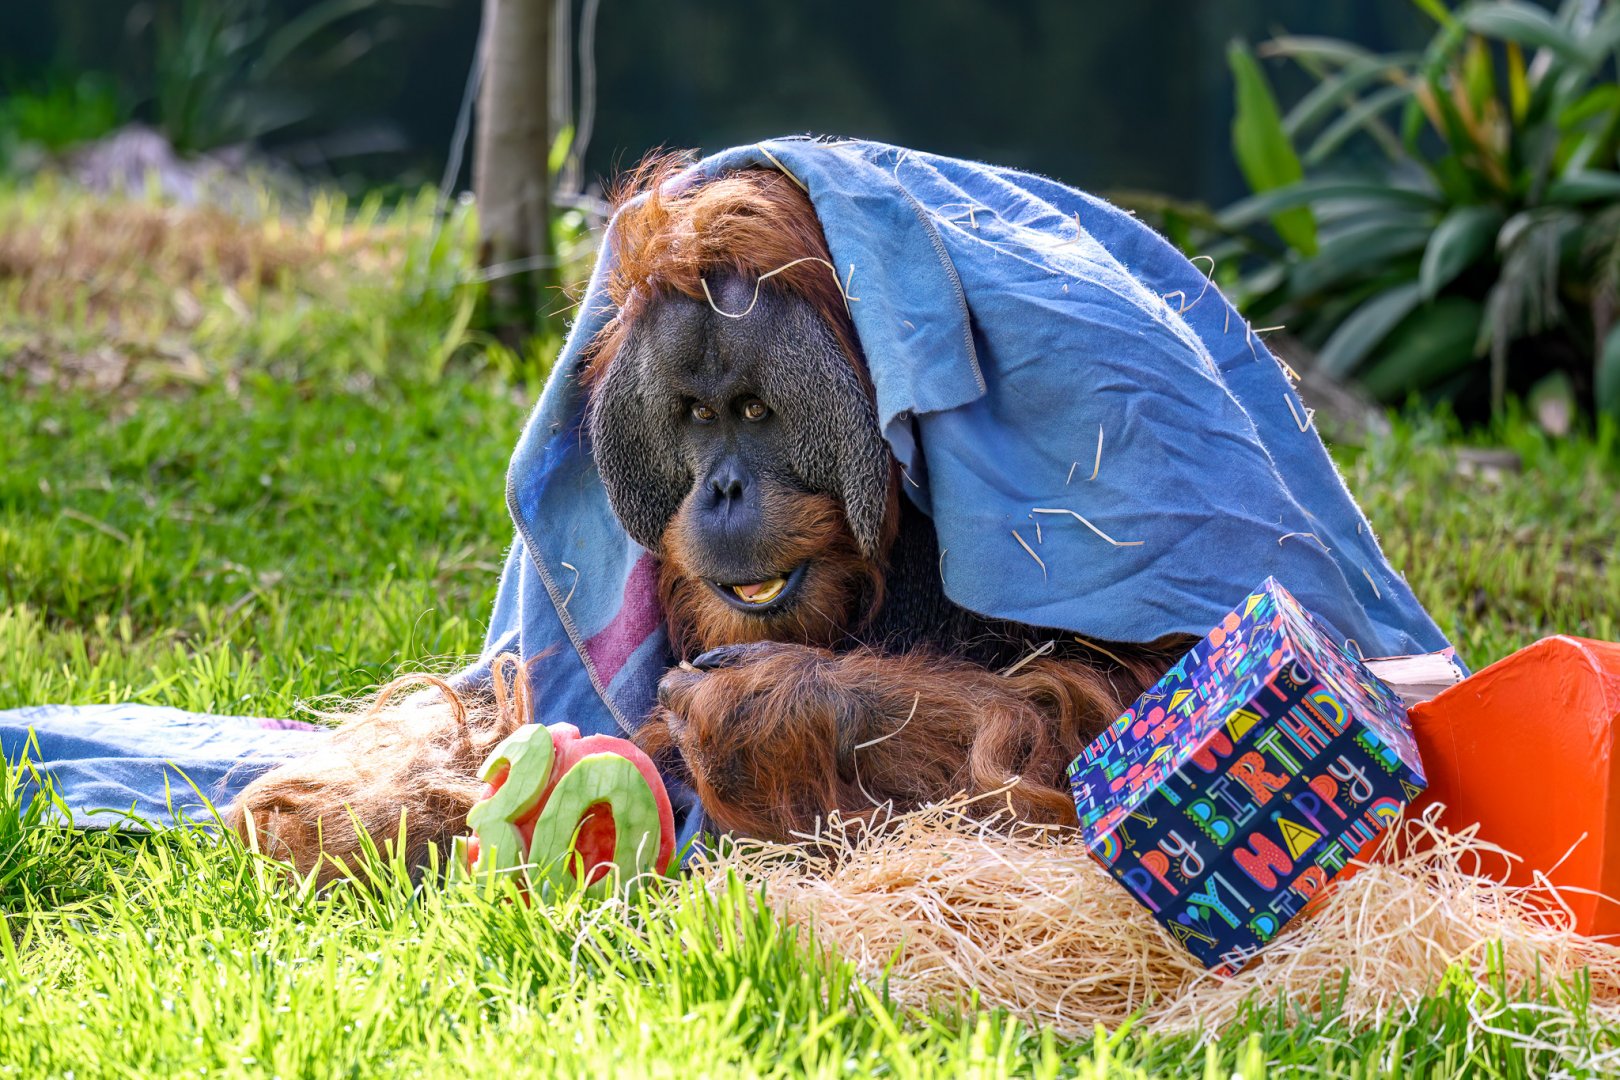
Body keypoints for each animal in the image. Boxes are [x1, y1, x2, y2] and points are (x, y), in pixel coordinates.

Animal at [228, 159, 1188, 878]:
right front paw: (349, 818)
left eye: (756, 412)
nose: (723, 489)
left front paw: (755, 704)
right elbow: (493, 703)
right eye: (695, 414)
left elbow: (1097, 707)